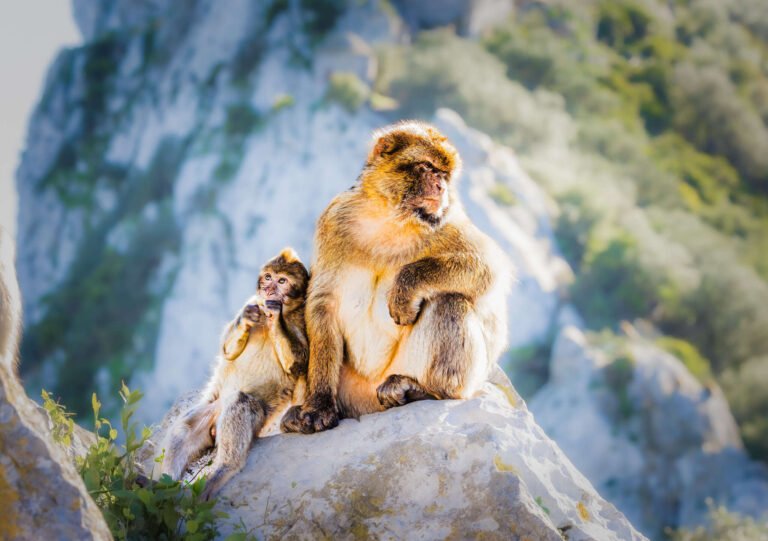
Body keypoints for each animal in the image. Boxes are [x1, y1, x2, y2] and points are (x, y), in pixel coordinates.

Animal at [159, 247, 309, 499]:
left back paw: (224, 469)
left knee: (242, 403)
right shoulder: (251, 301)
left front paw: (275, 315)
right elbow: (227, 351)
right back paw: (160, 485)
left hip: (258, 419)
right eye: (268, 277)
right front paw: (247, 318)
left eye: (282, 281)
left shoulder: (302, 320)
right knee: (184, 428)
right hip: (212, 407)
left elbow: (299, 363)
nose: (268, 289)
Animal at [281, 121, 511, 434]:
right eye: (427, 167)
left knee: (450, 301)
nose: (441, 187)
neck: (389, 219)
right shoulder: (332, 221)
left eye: (444, 175)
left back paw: (425, 390)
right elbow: (321, 303)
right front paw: (318, 404)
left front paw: (405, 287)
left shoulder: (449, 220)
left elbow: (489, 266)